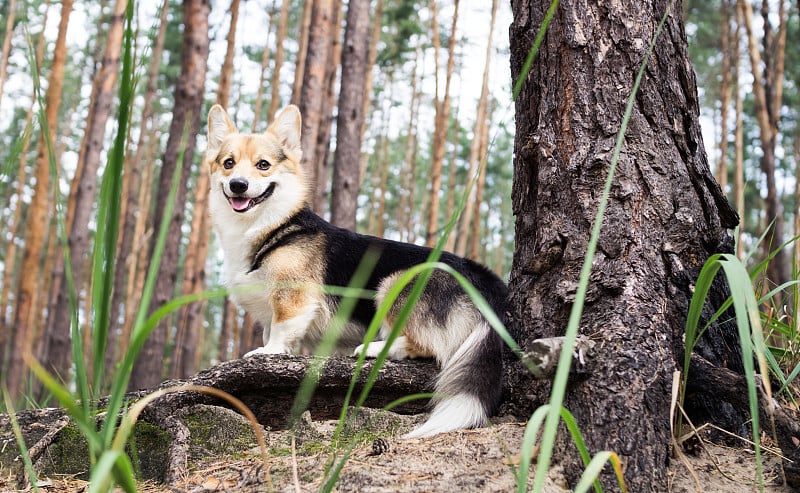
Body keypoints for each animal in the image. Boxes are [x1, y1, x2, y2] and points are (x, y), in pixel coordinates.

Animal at [205, 104, 506, 438]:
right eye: (228, 163)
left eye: (263, 165)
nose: (238, 185)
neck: (271, 226)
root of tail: (482, 279)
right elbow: (277, 331)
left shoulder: (293, 297)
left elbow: (282, 330)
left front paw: (266, 352)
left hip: (395, 283)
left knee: (426, 346)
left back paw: (375, 348)